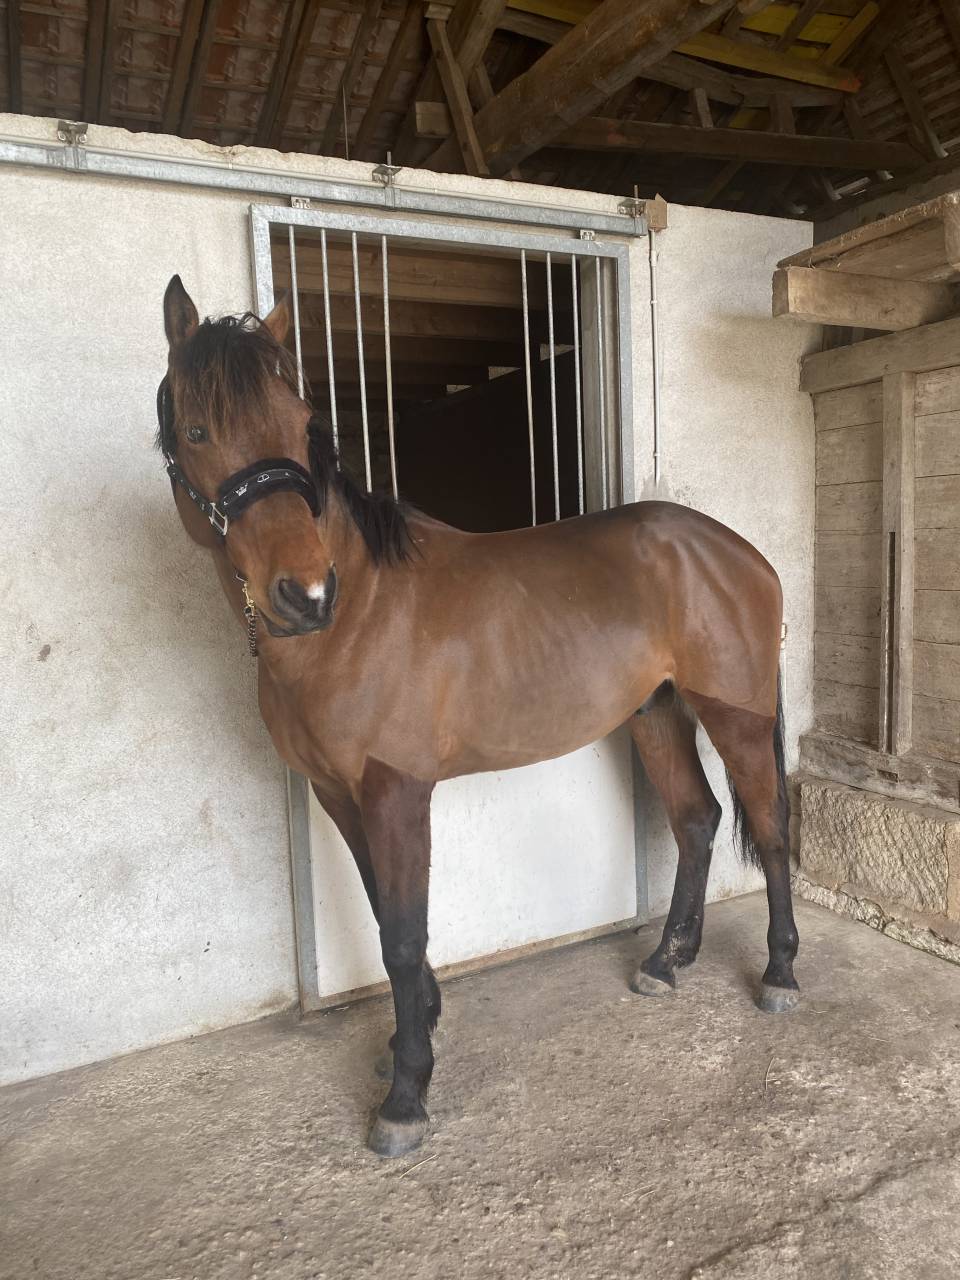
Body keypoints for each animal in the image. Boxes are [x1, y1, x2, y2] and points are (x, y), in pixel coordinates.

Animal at [156, 275, 800, 1158]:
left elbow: (402, 934)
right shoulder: (338, 794)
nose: (305, 594)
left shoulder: (396, 791)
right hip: (654, 713)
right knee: (698, 820)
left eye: (300, 426)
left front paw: (405, 1095)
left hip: (734, 717)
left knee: (767, 828)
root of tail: (740, 553)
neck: (356, 617)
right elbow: (385, 913)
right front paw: (414, 1032)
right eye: (197, 430)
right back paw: (667, 962)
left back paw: (780, 973)